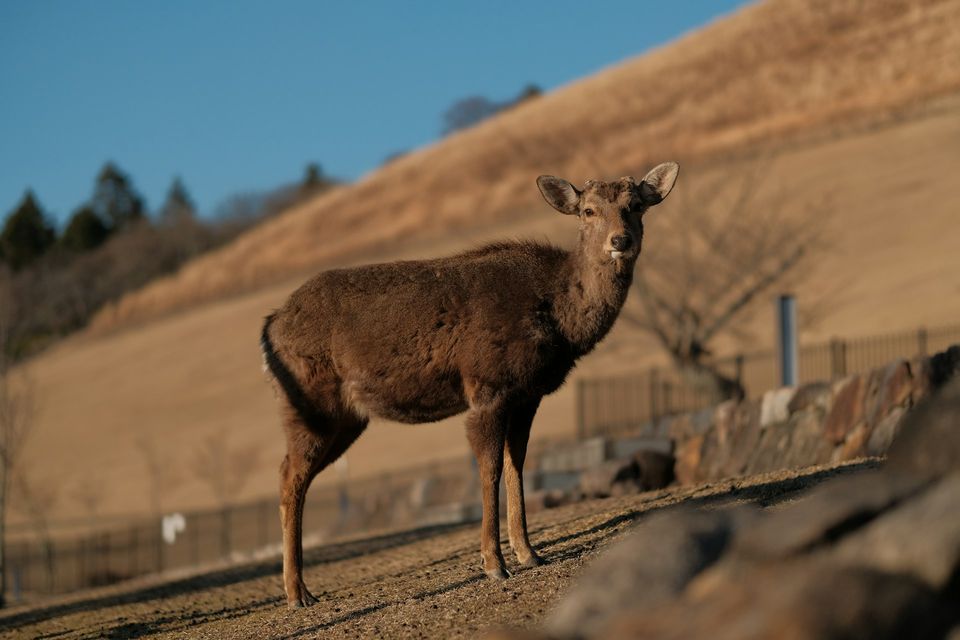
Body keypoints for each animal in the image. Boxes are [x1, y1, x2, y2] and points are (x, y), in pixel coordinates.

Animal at [260, 162, 679, 607]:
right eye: (588, 210)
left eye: (635, 205)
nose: (620, 240)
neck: (559, 321)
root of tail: (270, 327)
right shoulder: (487, 385)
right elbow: (489, 469)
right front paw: (495, 564)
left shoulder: (527, 395)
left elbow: (517, 465)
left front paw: (529, 553)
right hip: (309, 403)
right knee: (289, 477)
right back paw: (297, 592)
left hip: (346, 418)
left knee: (293, 474)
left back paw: (301, 588)